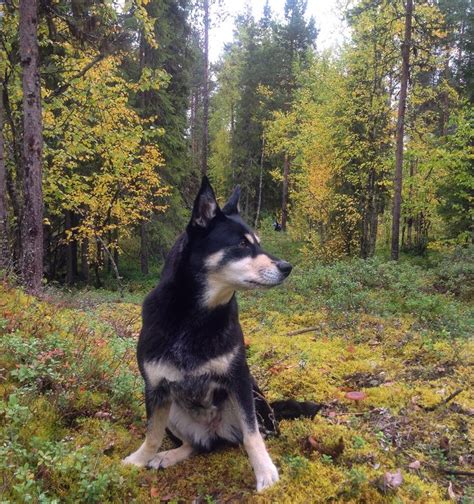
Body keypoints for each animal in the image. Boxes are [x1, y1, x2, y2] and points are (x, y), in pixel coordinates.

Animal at [124, 178, 320, 492]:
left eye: (258, 241)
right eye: (242, 244)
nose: (287, 267)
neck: (195, 318)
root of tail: (214, 432)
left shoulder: (239, 381)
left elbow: (252, 436)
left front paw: (265, 471)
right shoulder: (156, 388)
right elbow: (152, 433)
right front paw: (140, 459)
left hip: (255, 401)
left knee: (252, 434)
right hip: (176, 412)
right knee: (195, 444)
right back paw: (170, 454)